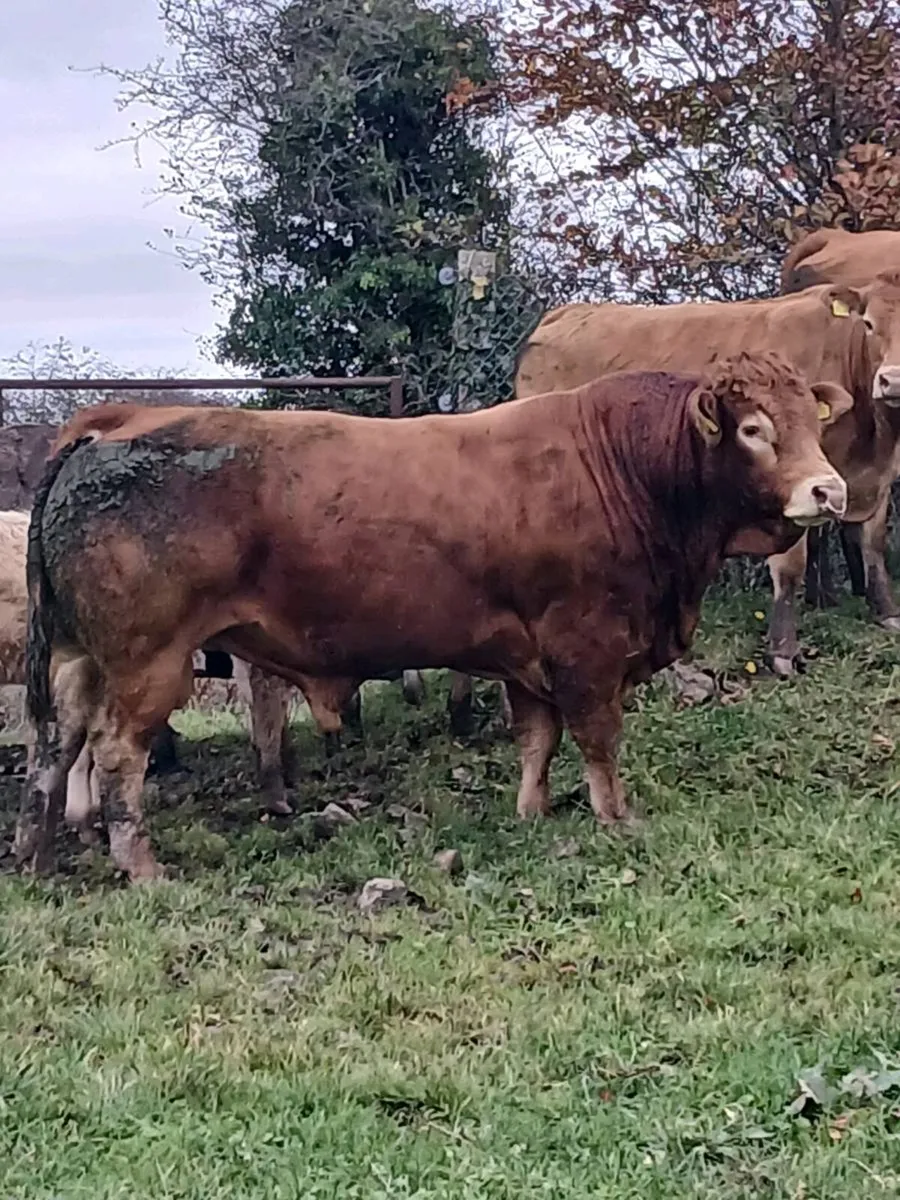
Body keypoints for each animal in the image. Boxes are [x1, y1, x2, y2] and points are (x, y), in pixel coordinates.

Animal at [13, 352, 846, 880]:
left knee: (55, 747)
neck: (631, 468)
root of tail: (115, 422)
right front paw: (617, 819)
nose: (829, 490)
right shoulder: (588, 648)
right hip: (147, 661)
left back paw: (39, 855)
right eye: (753, 429)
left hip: (79, 658)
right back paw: (140, 865)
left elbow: (537, 738)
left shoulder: (529, 656)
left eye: (816, 423)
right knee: (116, 753)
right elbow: (598, 740)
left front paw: (531, 810)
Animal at [513, 277, 900, 675]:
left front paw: (886, 614)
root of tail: (567, 312)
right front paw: (783, 651)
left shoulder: (874, 482)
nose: (892, 380)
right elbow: (791, 566)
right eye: (869, 324)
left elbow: (872, 545)